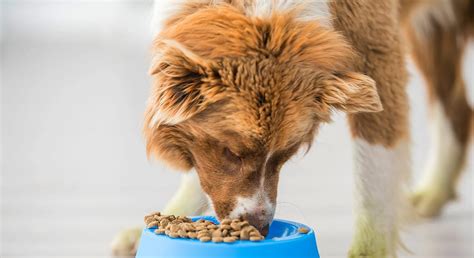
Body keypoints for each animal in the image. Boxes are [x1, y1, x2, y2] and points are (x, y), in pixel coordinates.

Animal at [112, 1, 474, 256]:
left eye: (286, 154)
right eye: (230, 152)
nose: (259, 227)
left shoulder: (378, 54)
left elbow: (374, 171)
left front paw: (369, 251)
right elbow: (202, 174)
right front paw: (168, 220)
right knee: (458, 109)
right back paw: (434, 191)